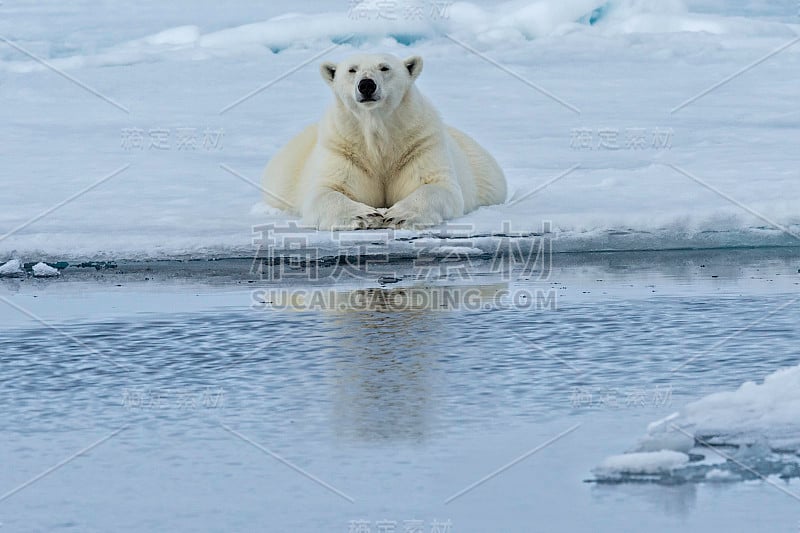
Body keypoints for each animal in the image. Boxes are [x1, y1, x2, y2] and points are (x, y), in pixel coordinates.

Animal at [262, 53, 506, 230]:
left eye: (384, 68)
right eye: (352, 69)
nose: (366, 85)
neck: (377, 132)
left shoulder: (420, 143)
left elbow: (437, 185)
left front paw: (397, 215)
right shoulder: (342, 147)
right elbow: (326, 191)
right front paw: (367, 215)